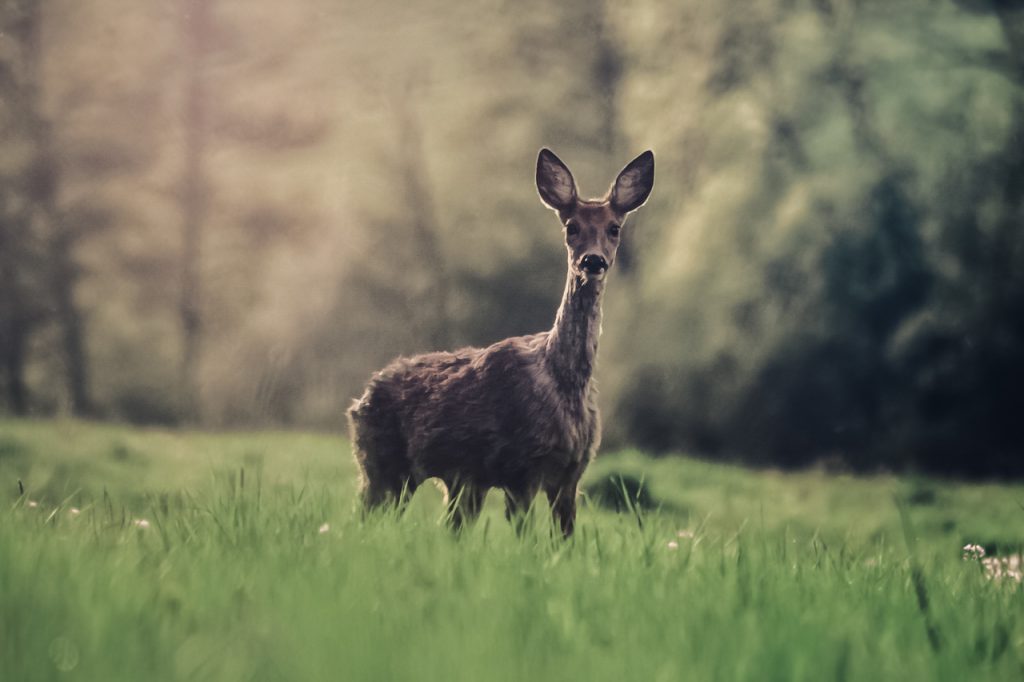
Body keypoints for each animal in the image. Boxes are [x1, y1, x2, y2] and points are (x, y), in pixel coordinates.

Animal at [350, 148, 655, 536]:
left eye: (614, 228)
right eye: (571, 227)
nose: (593, 260)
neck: (566, 382)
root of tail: (361, 398)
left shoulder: (572, 474)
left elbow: (565, 540)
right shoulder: (521, 467)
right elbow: (525, 537)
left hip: (459, 482)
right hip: (379, 463)